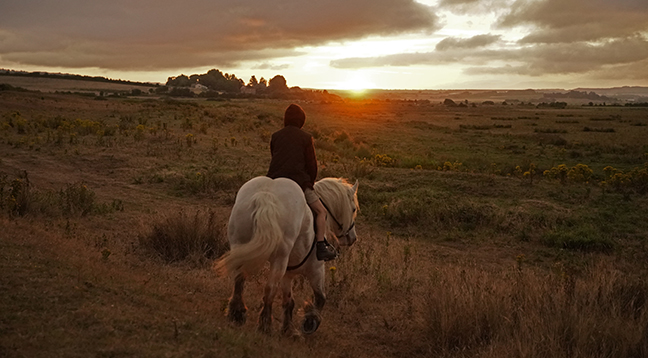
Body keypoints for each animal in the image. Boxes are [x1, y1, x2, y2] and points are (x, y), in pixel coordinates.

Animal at [218, 176, 360, 336]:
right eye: (353, 209)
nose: (352, 238)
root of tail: (265, 196)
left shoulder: (288, 272)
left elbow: (289, 301)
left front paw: (288, 328)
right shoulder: (316, 268)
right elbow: (320, 297)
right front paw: (310, 321)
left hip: (240, 245)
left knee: (239, 279)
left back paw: (237, 313)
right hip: (279, 258)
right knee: (270, 289)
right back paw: (265, 324)